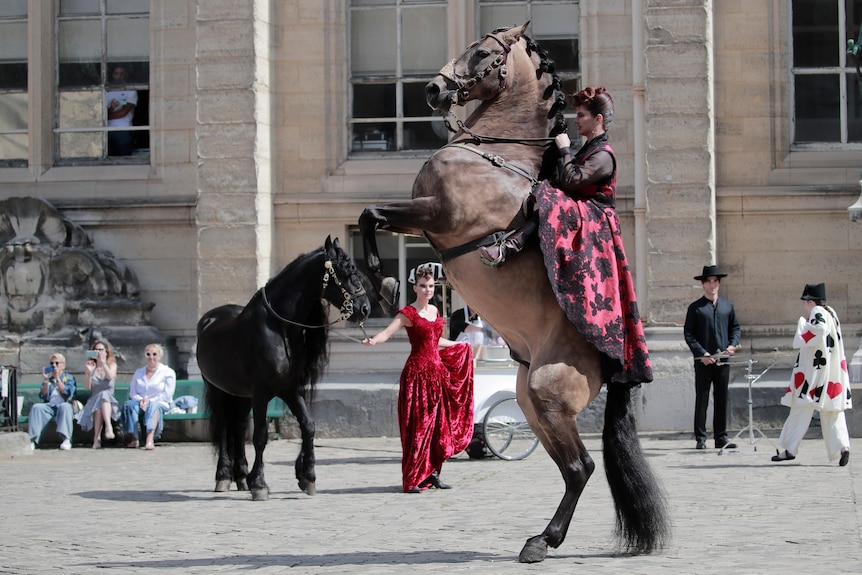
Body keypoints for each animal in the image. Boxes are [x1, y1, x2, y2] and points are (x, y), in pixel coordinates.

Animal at [197, 236, 372, 502]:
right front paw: (260, 485)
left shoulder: (290, 389)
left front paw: (308, 477)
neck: (279, 329)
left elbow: (308, 426)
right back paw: (224, 477)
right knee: (224, 428)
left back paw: (241, 477)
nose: (364, 308)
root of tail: (209, 319)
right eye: (344, 271)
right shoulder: (261, 392)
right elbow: (260, 437)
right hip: (218, 390)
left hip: (241, 394)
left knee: (238, 428)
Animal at [362, 24, 672, 564]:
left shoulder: (436, 214)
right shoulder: (424, 219)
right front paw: (384, 282)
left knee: (581, 467)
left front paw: (381, 279)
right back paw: (544, 537)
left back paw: (541, 542)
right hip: (530, 402)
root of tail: (613, 364)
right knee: (573, 468)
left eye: (483, 52)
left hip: (548, 392)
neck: (499, 156)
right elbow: (372, 217)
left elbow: (372, 214)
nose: (433, 90)